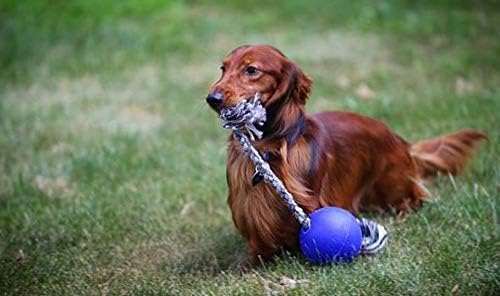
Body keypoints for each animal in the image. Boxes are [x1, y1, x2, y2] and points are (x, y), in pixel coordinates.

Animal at [205, 44, 486, 262]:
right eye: (223, 68)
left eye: (251, 70)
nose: (212, 98)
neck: (269, 146)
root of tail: (399, 140)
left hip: (394, 189)